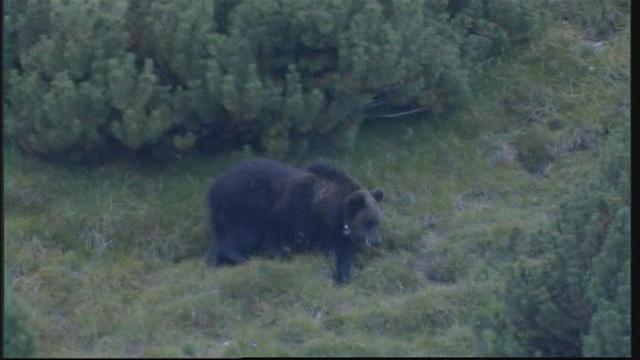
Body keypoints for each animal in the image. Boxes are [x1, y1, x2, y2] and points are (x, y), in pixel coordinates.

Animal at [208, 158, 382, 284]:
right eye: (369, 221)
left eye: (378, 221)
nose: (377, 242)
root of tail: (214, 185)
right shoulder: (288, 213)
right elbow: (275, 239)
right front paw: (278, 257)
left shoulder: (332, 231)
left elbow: (340, 252)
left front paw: (342, 276)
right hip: (241, 206)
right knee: (237, 235)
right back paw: (239, 257)